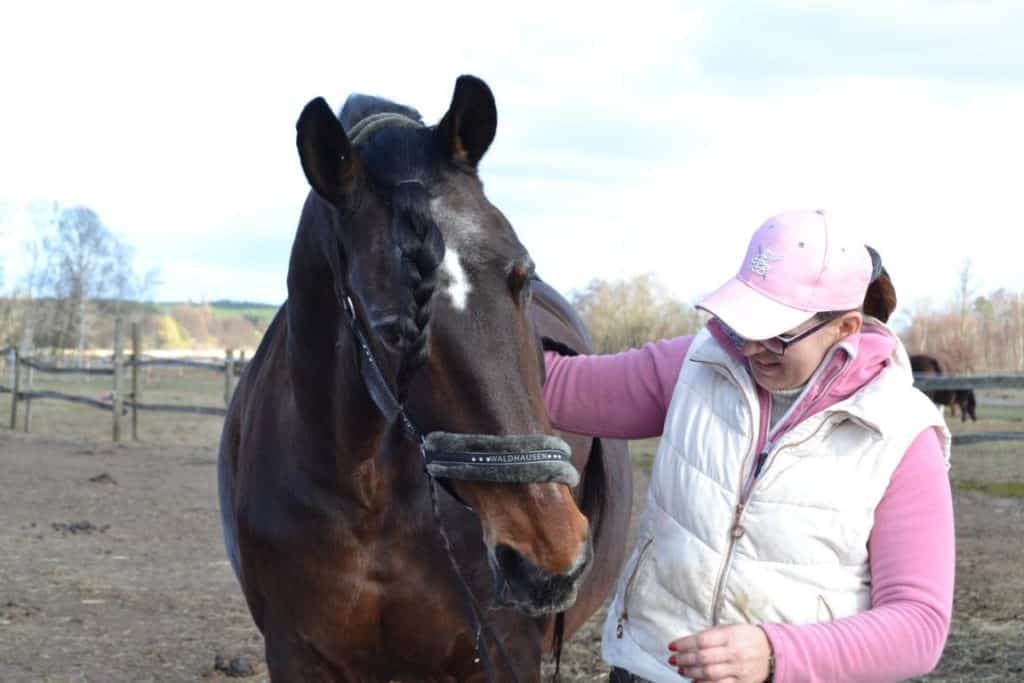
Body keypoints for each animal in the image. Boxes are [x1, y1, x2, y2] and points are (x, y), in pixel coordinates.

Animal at [217, 76, 630, 683]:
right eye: (393, 328)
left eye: (523, 275)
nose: (548, 553)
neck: (365, 495)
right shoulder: (294, 654)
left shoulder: (500, 656)